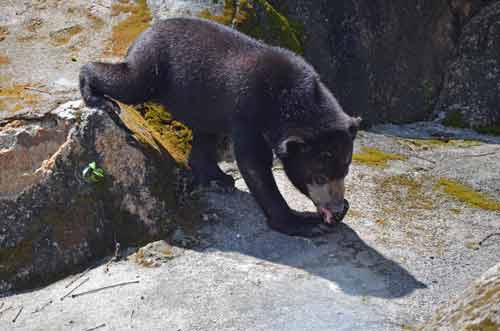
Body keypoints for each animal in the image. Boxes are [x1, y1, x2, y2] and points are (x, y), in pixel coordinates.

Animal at [79, 16, 360, 237]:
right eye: (318, 175)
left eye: (345, 169)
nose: (335, 210)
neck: (289, 97)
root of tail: (146, 32)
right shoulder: (249, 109)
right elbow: (254, 162)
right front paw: (303, 223)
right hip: (152, 67)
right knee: (128, 83)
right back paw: (97, 96)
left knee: (205, 135)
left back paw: (217, 178)